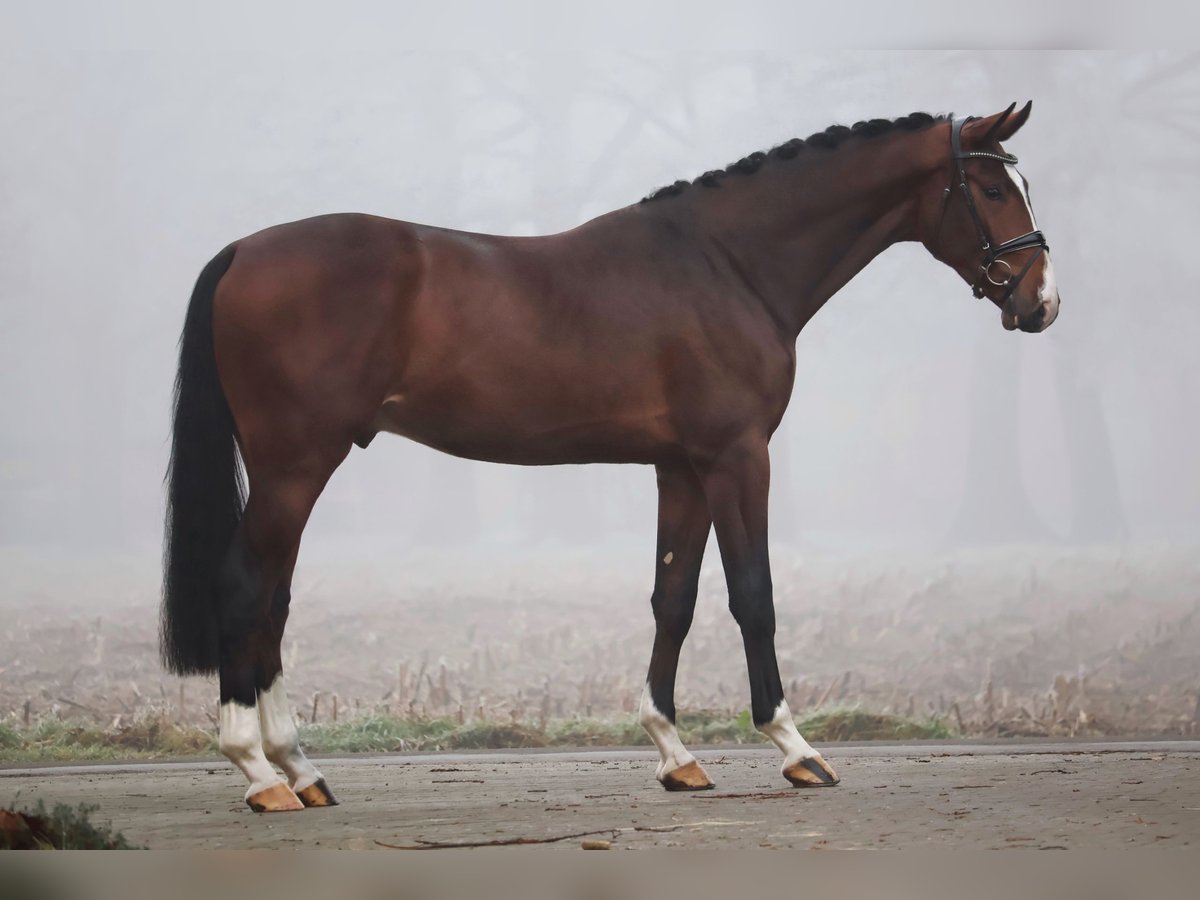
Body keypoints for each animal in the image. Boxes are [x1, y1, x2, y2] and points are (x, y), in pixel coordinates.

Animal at [159, 102, 1060, 816]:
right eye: (990, 189)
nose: (1041, 299)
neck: (727, 264)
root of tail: (243, 251)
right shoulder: (737, 457)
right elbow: (753, 595)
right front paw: (795, 748)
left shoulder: (681, 467)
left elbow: (674, 599)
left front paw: (675, 755)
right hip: (294, 465)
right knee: (245, 589)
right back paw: (257, 772)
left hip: (294, 470)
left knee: (273, 600)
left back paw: (301, 769)